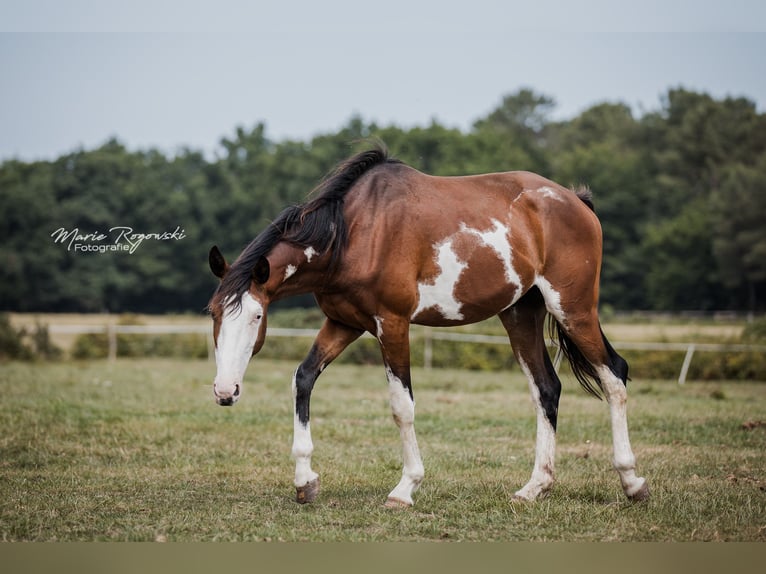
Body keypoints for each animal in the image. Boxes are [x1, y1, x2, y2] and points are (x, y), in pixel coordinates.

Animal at [206, 144, 649, 507]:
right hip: (521, 314)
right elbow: (303, 379)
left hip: (573, 309)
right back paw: (534, 487)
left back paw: (632, 482)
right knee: (547, 389)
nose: (226, 391)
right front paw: (305, 481)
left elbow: (402, 406)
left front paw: (405, 488)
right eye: (212, 312)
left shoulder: (392, 324)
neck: (352, 233)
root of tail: (577, 202)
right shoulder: (344, 323)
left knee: (614, 375)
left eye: (257, 316)